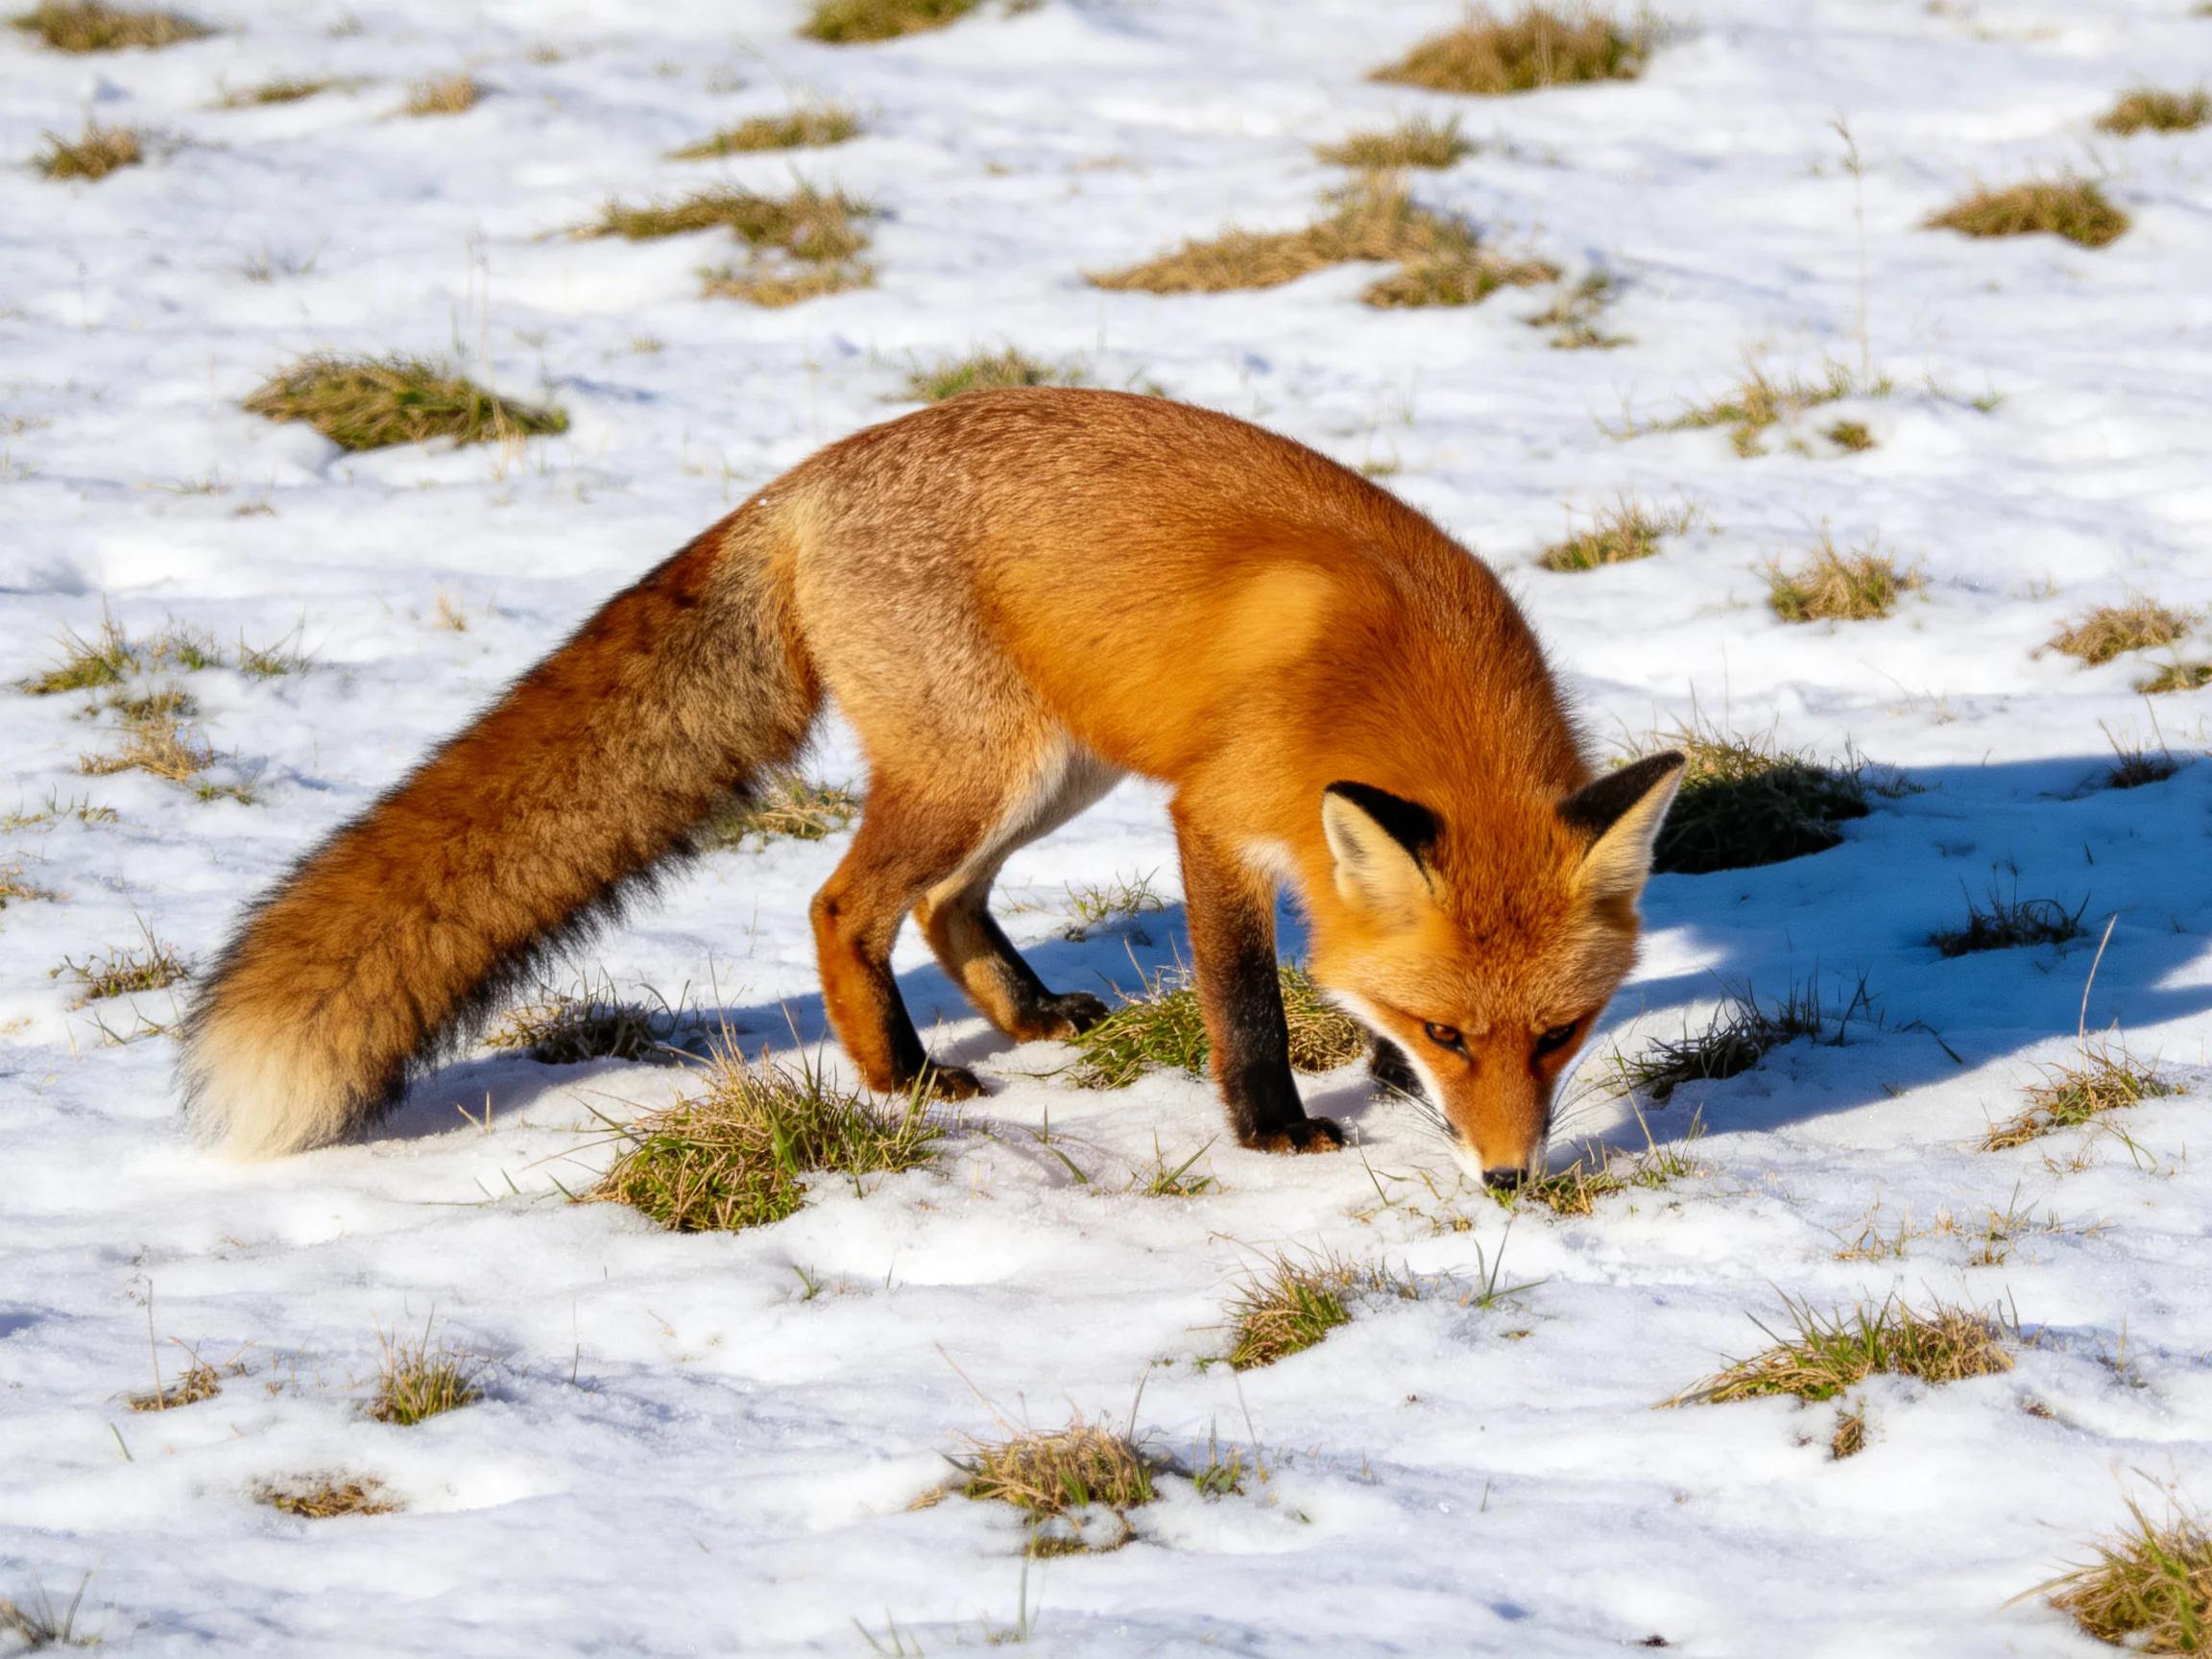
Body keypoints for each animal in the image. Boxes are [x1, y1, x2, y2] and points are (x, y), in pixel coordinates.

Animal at [181, 388, 1683, 1184]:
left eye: (1558, 1036)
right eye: (1455, 1034)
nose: (1509, 1180)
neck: (1394, 678)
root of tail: (802, 479)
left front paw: (1370, 1071)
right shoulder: (1211, 817)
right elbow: (1248, 1003)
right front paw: (1275, 1130)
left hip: (1047, 770)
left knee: (944, 904)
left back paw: (1024, 1016)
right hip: (984, 769)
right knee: (843, 904)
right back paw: (899, 1076)